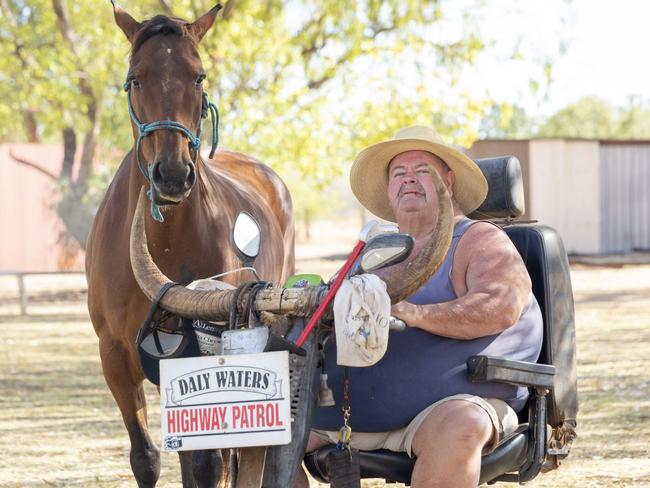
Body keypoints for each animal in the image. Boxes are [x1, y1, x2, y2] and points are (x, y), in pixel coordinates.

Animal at [85, 4, 292, 488]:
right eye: (135, 78)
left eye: (198, 76)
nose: (173, 175)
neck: (163, 244)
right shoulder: (115, 356)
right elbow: (146, 458)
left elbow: (209, 463)